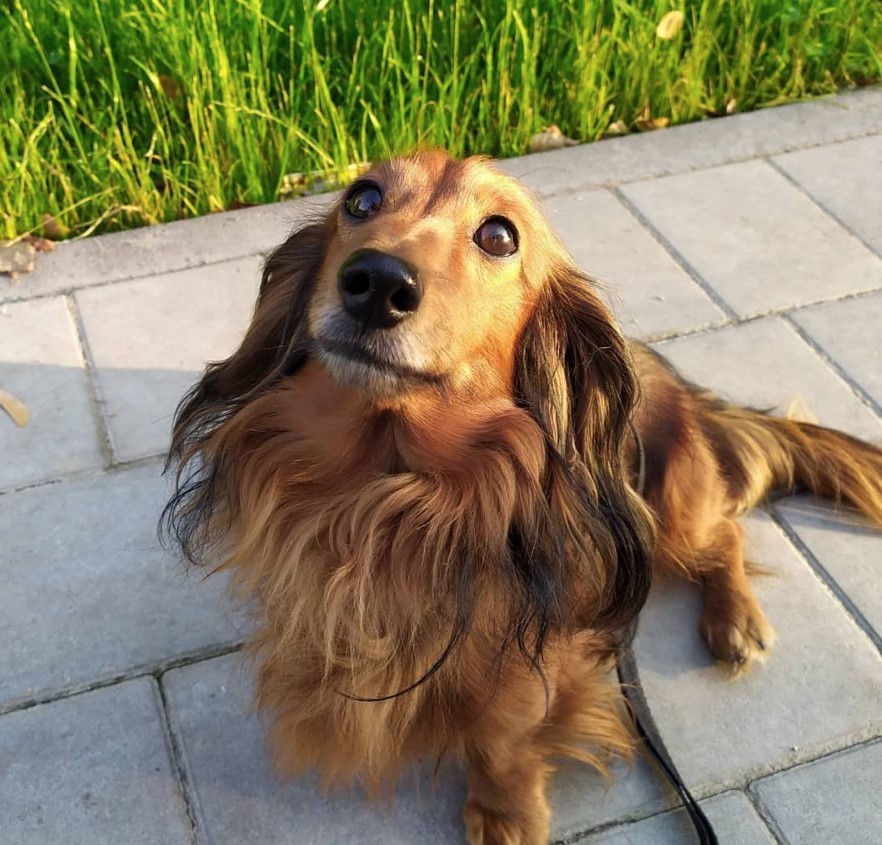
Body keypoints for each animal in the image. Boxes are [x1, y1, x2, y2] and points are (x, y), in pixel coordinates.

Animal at [163, 152, 880, 844]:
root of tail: (685, 390)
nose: (378, 282)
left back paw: (735, 621)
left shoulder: (541, 648)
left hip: (674, 511)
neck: (390, 488)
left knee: (726, 532)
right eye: (361, 198)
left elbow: (503, 731)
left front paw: (504, 811)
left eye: (499, 235)